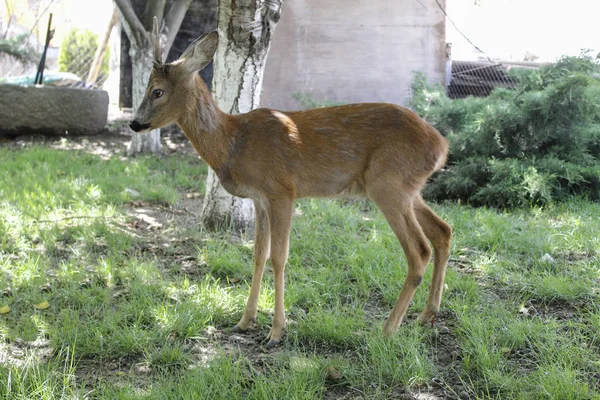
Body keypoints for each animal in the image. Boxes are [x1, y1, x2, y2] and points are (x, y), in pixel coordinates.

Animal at [130, 20, 450, 348]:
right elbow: (258, 255)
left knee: (419, 250)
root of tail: (442, 147)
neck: (234, 143)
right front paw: (245, 320)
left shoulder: (282, 190)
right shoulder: (259, 199)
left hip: (388, 184)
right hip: (406, 187)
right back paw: (427, 314)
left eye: (156, 91)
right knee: (443, 230)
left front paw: (276, 330)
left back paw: (388, 329)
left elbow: (279, 258)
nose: (134, 123)